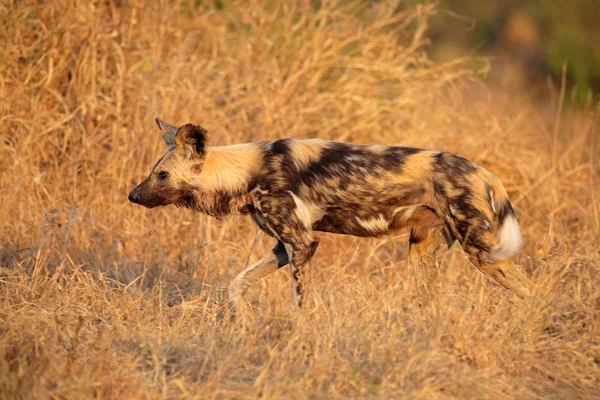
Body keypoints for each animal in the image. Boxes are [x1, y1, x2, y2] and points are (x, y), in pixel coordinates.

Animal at [129, 118, 532, 310]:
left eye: (162, 175)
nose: (132, 195)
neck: (249, 169)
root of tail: (484, 172)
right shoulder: (284, 247)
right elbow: (237, 284)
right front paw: (244, 321)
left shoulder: (303, 244)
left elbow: (301, 300)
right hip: (422, 254)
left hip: (482, 252)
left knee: (532, 290)